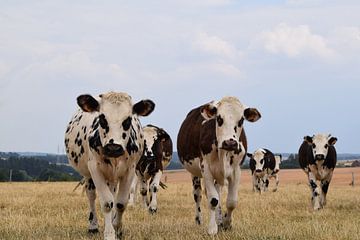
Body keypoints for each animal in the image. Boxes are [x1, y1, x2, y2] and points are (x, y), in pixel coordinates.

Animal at [64, 92, 155, 240]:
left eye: (128, 120)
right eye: (102, 118)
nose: (113, 147)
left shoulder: (130, 170)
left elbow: (120, 203)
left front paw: (117, 228)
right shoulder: (95, 169)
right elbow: (107, 203)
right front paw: (109, 233)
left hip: (112, 178)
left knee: (113, 195)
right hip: (88, 176)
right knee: (91, 196)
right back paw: (93, 226)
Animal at [178, 95, 260, 234]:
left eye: (241, 120)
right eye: (219, 118)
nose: (230, 142)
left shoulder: (236, 171)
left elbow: (231, 201)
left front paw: (226, 224)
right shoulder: (206, 170)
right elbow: (213, 200)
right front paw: (212, 228)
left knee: (218, 194)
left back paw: (220, 220)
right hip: (194, 173)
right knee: (198, 196)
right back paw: (199, 220)